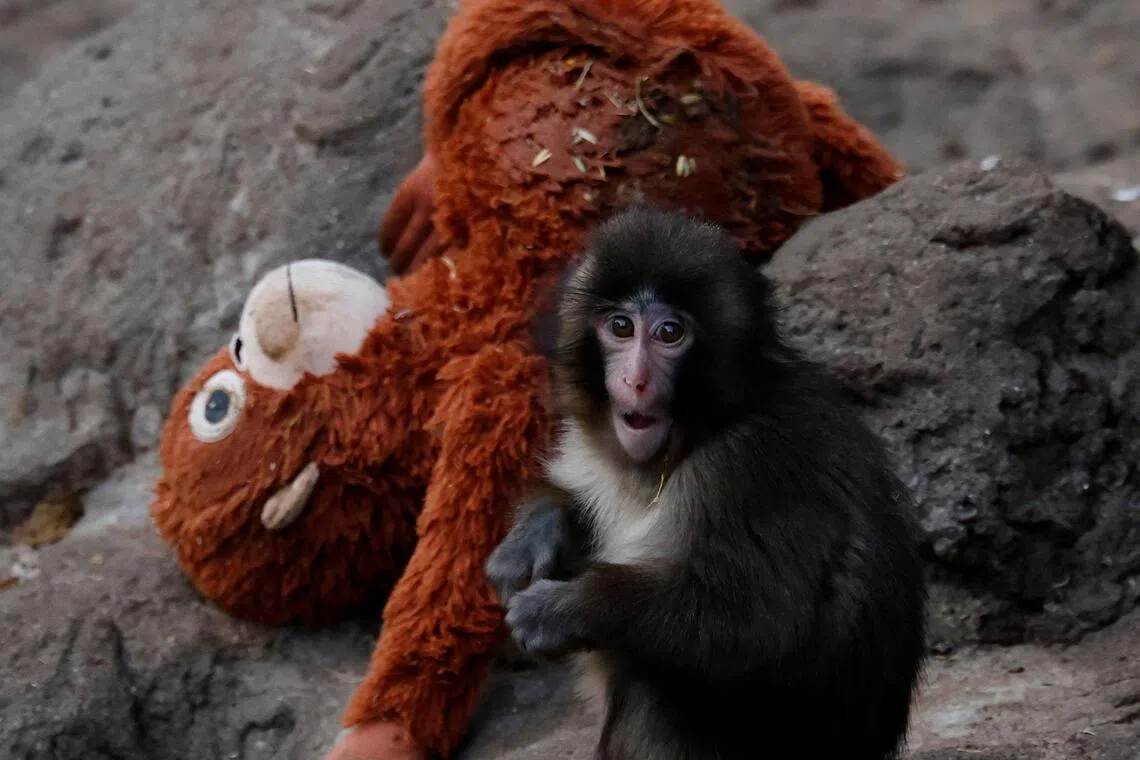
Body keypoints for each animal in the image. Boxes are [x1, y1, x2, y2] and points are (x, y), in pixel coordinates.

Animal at [485, 207, 928, 760]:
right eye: (621, 327)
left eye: (670, 333)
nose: (634, 380)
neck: (690, 438)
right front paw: (535, 536)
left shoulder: (754, 466)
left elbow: (760, 621)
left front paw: (567, 608)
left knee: (652, 684)